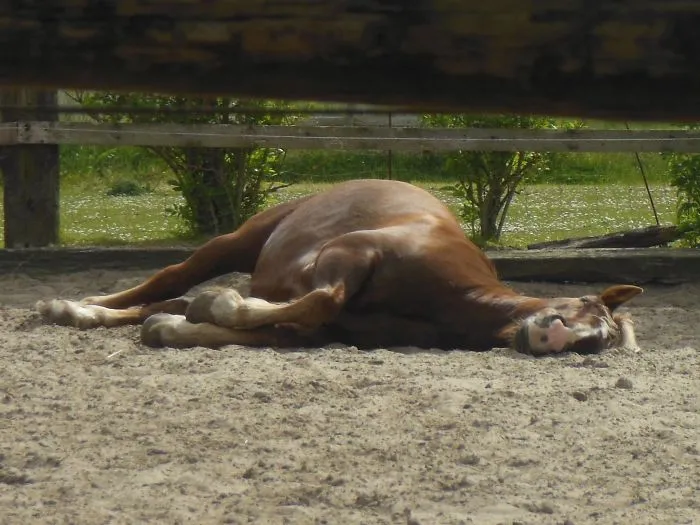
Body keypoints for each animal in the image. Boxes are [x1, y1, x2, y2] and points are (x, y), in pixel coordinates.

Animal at [37, 179, 642, 355]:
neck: (450, 299)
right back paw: (78, 306)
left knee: (166, 298)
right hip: (237, 241)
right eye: (586, 307)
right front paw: (222, 303)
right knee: (171, 279)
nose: (566, 340)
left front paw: (183, 326)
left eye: (601, 343)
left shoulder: (322, 329)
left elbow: (280, 322)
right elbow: (317, 298)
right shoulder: (349, 255)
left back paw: (81, 312)